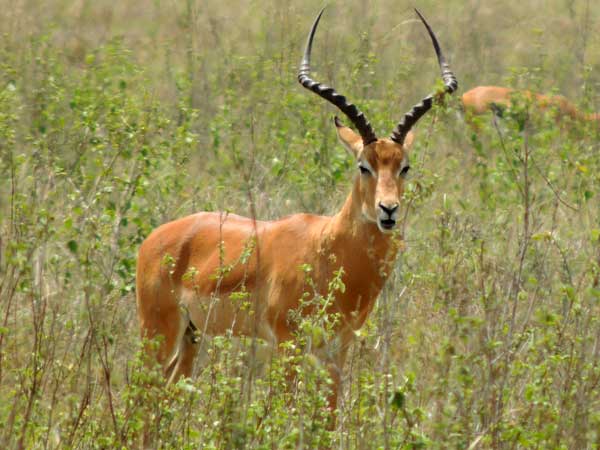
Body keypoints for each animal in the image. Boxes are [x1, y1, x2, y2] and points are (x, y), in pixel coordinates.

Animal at [135, 8, 454, 412]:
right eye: (363, 166)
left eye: (404, 167)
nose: (388, 210)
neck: (328, 248)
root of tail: (156, 238)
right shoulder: (287, 343)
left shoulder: (338, 349)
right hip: (157, 332)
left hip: (193, 336)